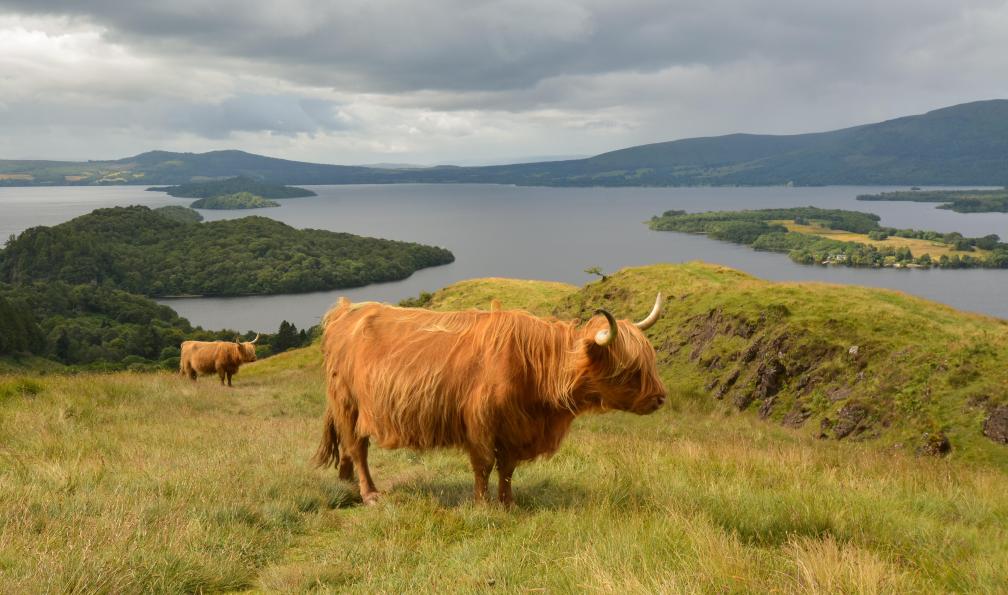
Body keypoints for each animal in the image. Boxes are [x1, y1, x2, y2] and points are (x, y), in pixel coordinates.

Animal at [314, 293, 666, 506]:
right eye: (630, 369)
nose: (660, 398)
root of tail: (345, 309)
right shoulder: (480, 423)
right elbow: (483, 465)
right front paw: (482, 503)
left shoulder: (515, 428)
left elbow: (507, 468)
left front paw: (508, 502)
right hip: (349, 403)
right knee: (358, 448)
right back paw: (369, 493)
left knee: (348, 447)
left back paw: (345, 481)